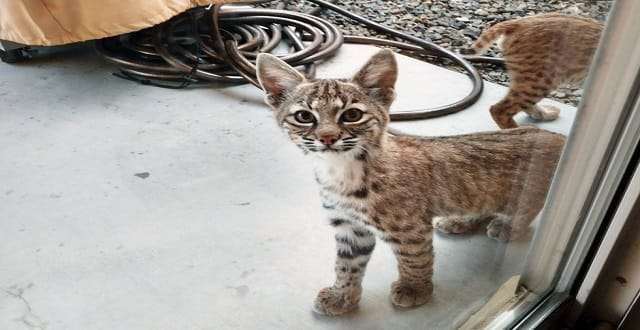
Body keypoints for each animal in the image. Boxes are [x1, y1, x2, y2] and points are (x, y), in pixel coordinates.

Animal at [255, 50, 564, 316]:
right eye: (304, 117)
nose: (328, 138)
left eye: (352, 115)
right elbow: (346, 265)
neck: (341, 169)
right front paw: (343, 296)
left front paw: (415, 289)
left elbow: (414, 258)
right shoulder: (350, 227)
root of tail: (557, 137)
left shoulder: (409, 228)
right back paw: (461, 221)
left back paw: (506, 226)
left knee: (529, 209)